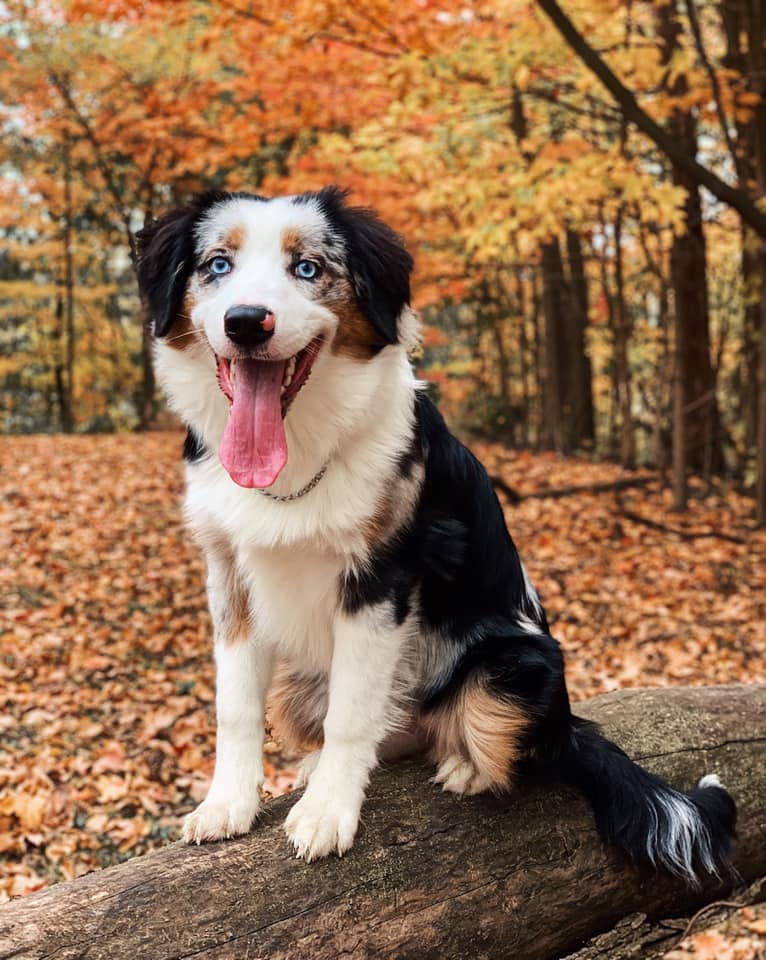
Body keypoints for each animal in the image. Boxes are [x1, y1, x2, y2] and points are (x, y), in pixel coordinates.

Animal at [138, 188, 736, 884]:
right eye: (217, 265)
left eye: (308, 268)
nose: (245, 322)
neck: (299, 450)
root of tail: (567, 721)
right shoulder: (229, 576)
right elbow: (235, 707)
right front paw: (226, 805)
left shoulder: (380, 583)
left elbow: (351, 714)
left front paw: (328, 813)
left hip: (516, 665)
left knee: (519, 749)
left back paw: (468, 767)